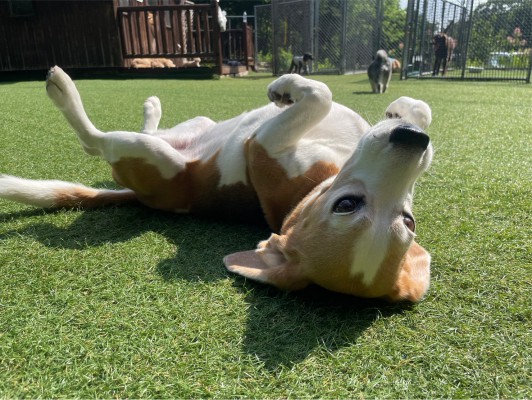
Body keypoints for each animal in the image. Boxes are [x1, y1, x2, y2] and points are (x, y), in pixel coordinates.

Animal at [0, 67, 434, 302]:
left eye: (345, 205)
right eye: (410, 221)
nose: (412, 140)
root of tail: (136, 194)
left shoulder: (261, 143)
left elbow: (322, 94)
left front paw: (288, 86)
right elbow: (419, 108)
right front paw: (404, 110)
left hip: (153, 158)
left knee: (94, 141)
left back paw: (62, 87)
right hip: (198, 124)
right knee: (153, 130)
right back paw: (151, 106)